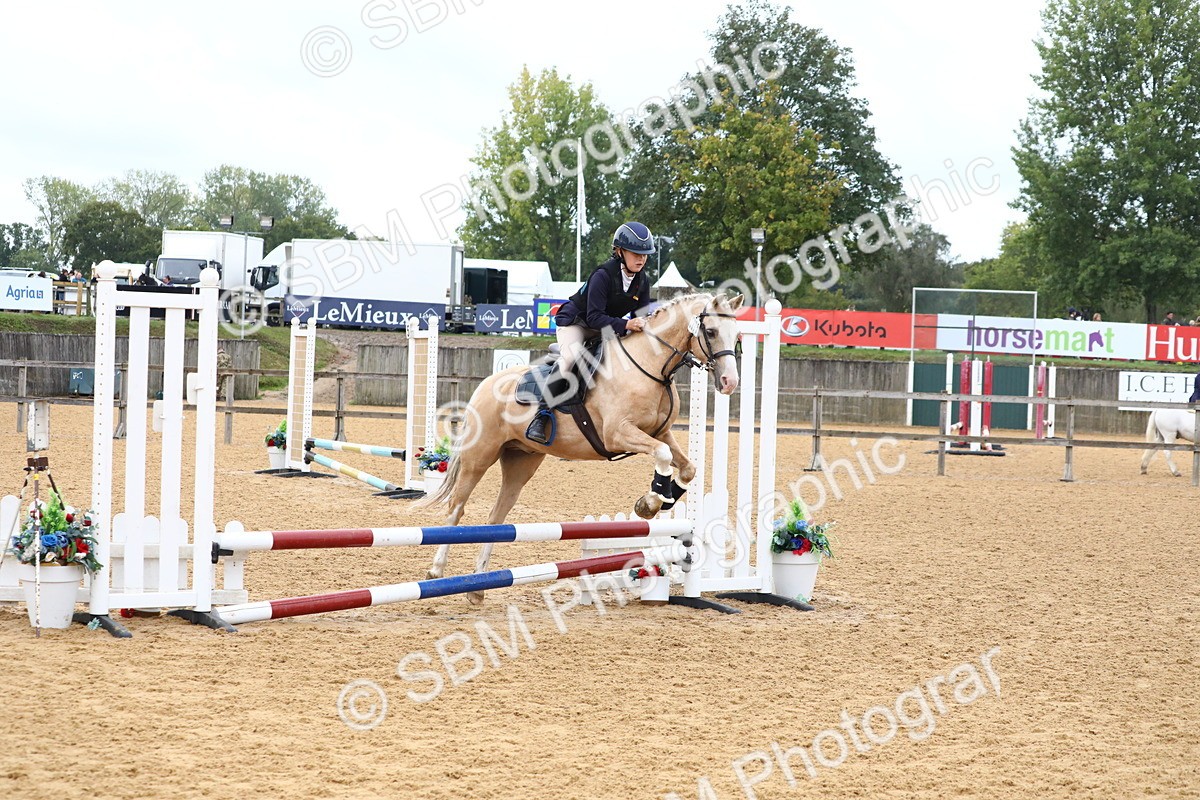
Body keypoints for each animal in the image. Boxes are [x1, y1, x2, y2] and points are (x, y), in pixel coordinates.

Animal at [419, 292, 744, 603]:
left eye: (737, 335)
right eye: (711, 331)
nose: (729, 382)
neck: (650, 367)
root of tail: (487, 383)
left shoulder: (661, 433)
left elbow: (687, 467)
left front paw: (666, 496)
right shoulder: (617, 433)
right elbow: (662, 456)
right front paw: (650, 502)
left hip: (521, 462)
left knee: (496, 519)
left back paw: (477, 588)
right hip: (480, 456)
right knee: (457, 509)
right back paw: (436, 570)